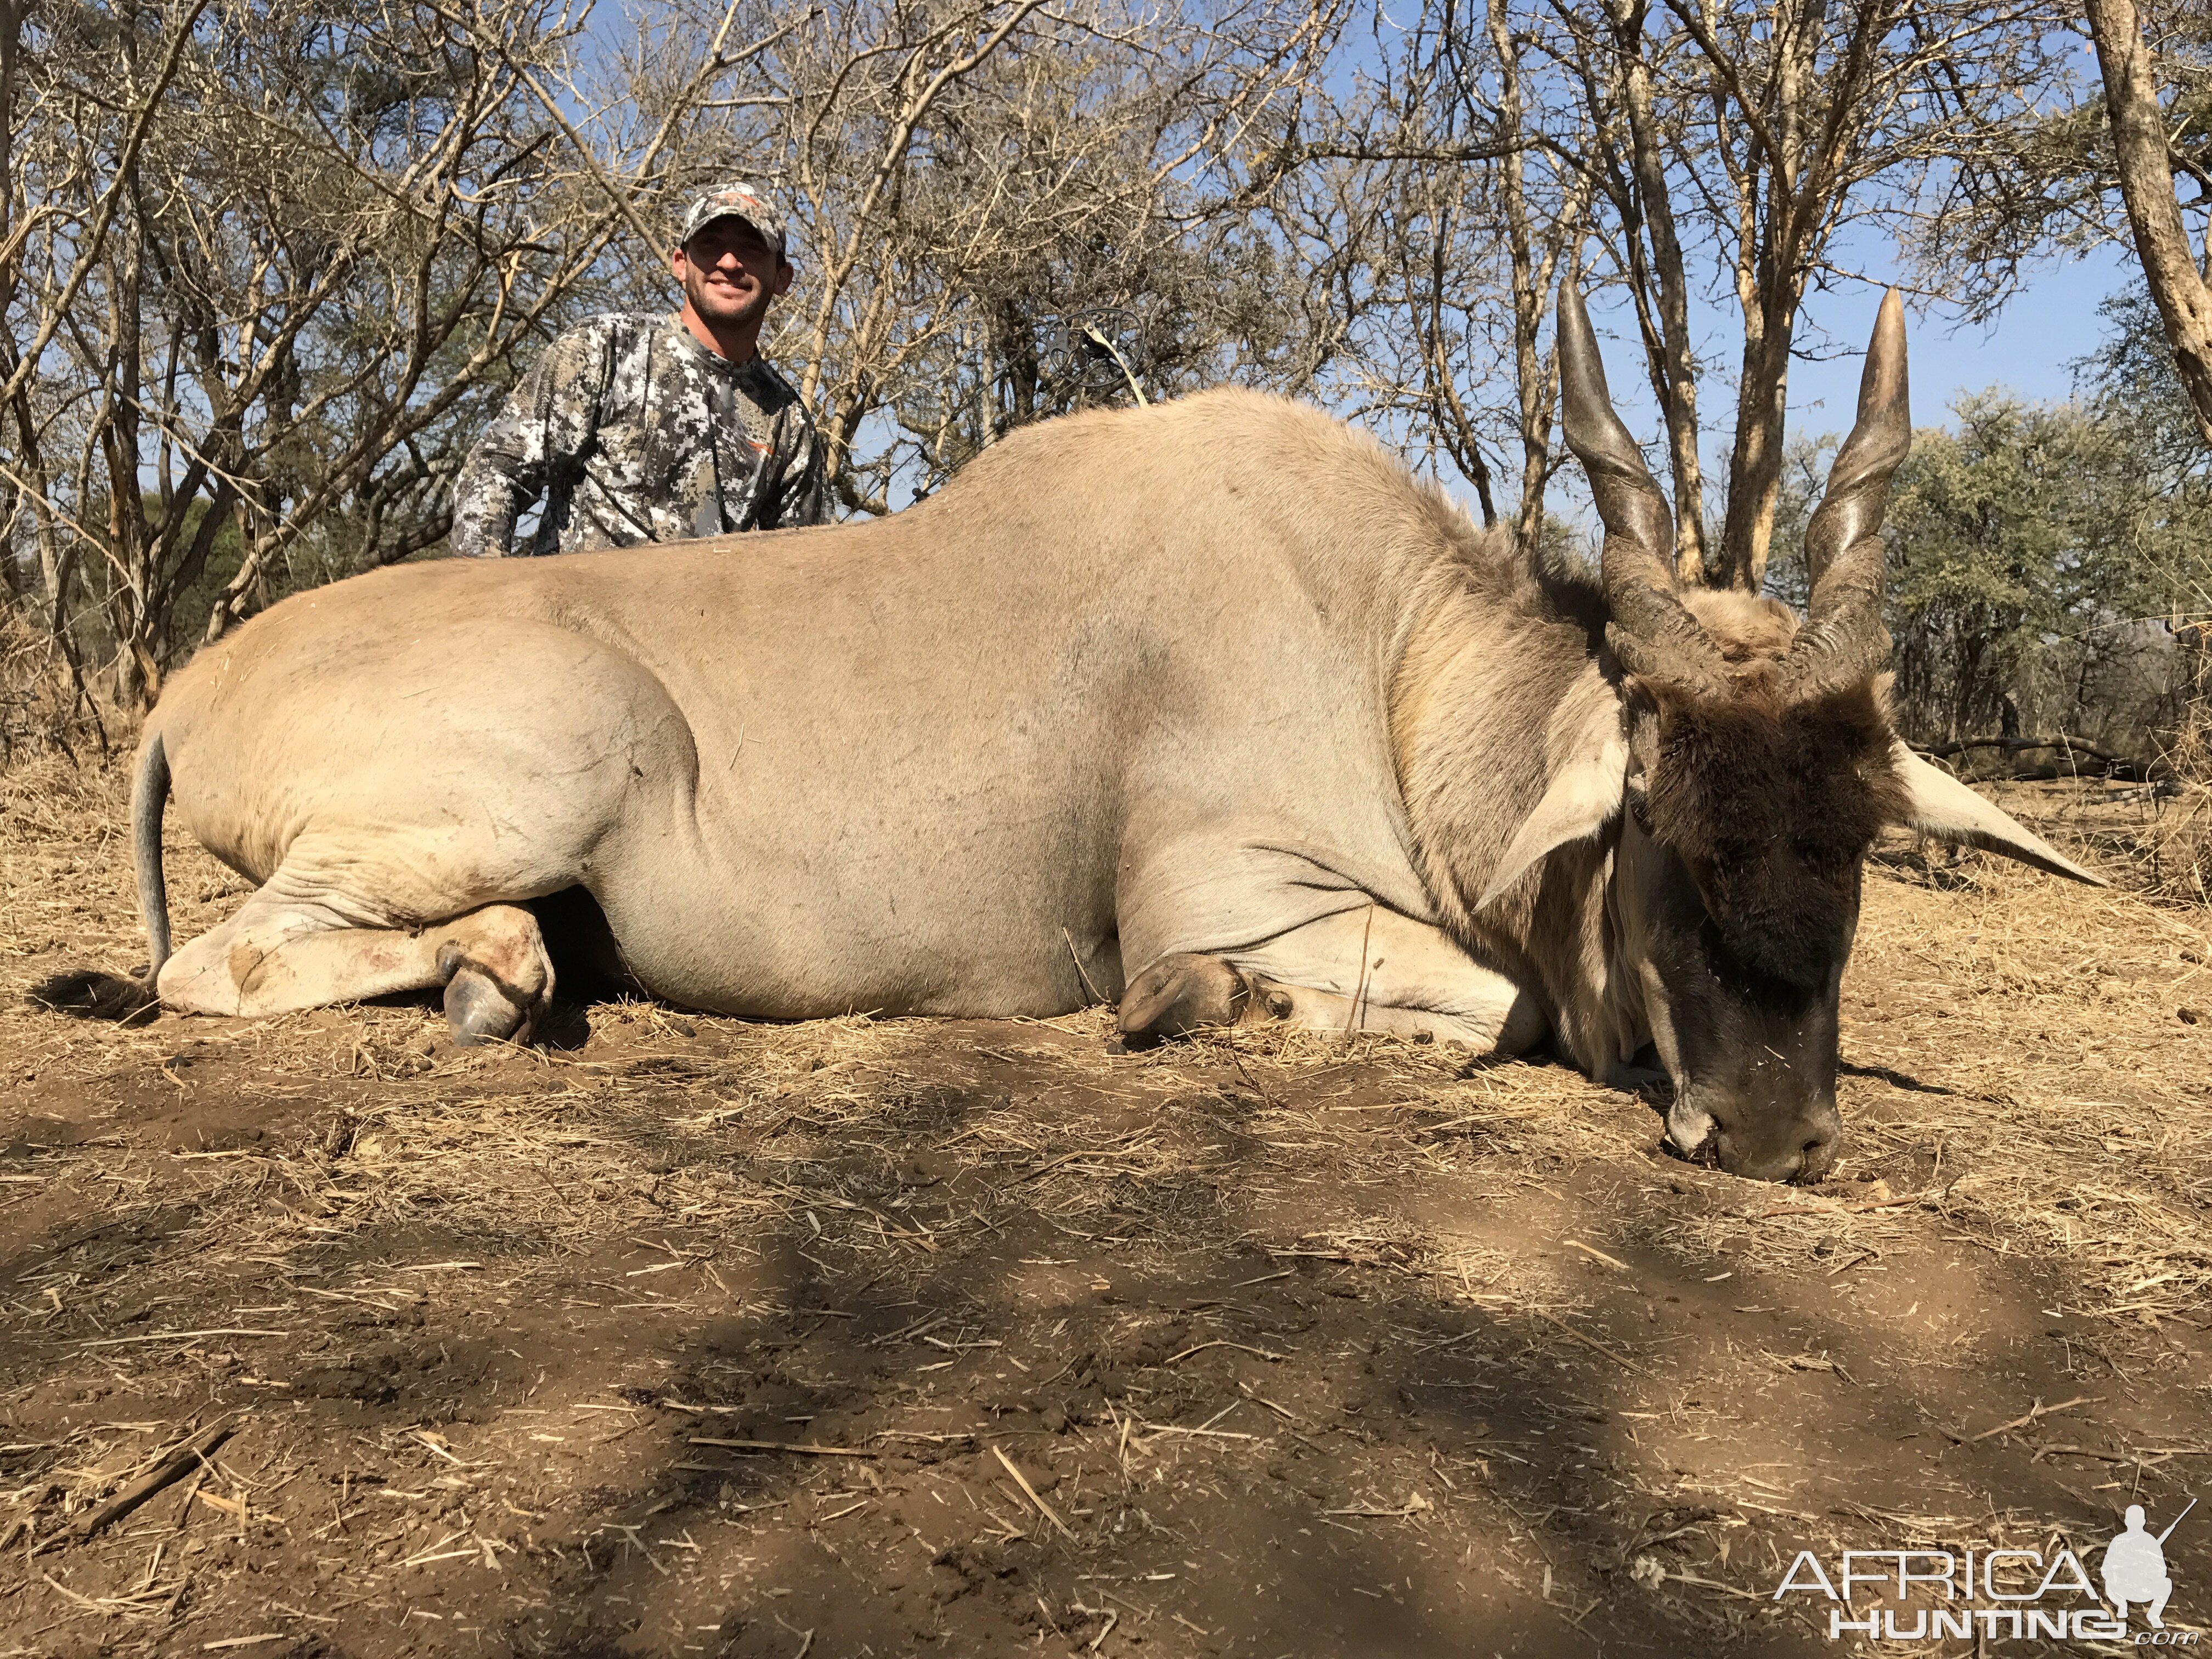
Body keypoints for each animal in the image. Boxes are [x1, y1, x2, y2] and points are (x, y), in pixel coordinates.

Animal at [43, 292, 2097, 1186]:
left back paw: (507, 969)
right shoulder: (1225, 901)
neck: (1391, 652)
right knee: (218, 966)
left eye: (1855, 841)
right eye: (1662, 820)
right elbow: (1485, 1005)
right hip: (553, 763)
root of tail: (186, 689)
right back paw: (490, 976)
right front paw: (1186, 1020)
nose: (1772, 1134)